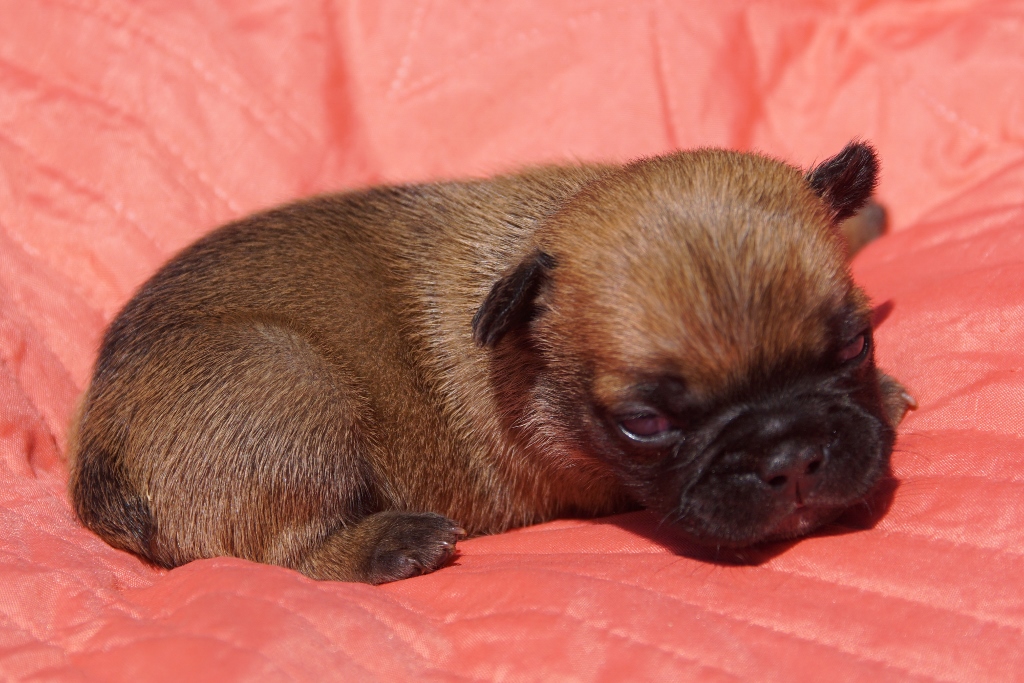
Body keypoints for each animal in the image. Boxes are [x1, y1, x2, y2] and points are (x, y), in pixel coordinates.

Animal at [68, 142, 914, 584]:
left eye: (853, 345)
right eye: (644, 423)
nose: (790, 457)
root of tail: (95, 459)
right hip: (286, 383)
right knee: (279, 551)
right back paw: (389, 543)